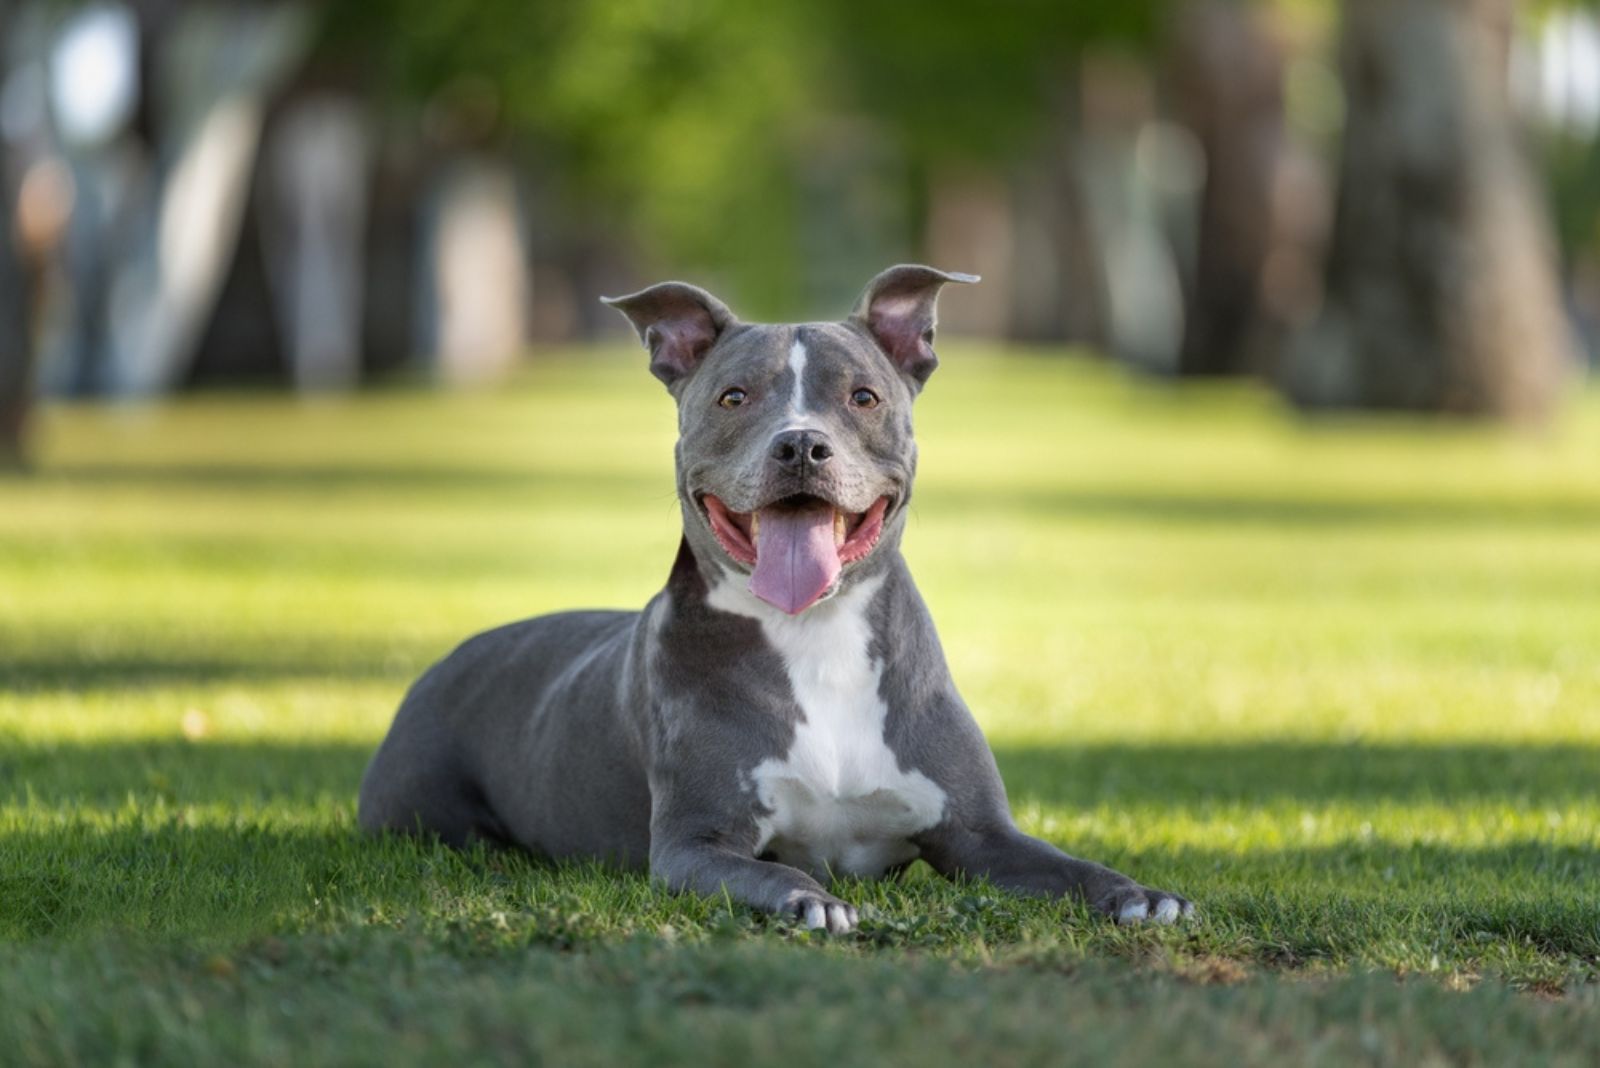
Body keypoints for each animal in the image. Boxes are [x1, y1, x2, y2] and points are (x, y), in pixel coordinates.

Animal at [360, 262, 1190, 927]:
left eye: (863, 397)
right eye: (733, 398)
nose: (800, 444)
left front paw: (1138, 894)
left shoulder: (984, 837)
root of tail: (448, 659)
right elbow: (770, 873)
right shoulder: (696, 846)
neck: (814, 634)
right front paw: (808, 900)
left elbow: (1070, 867)